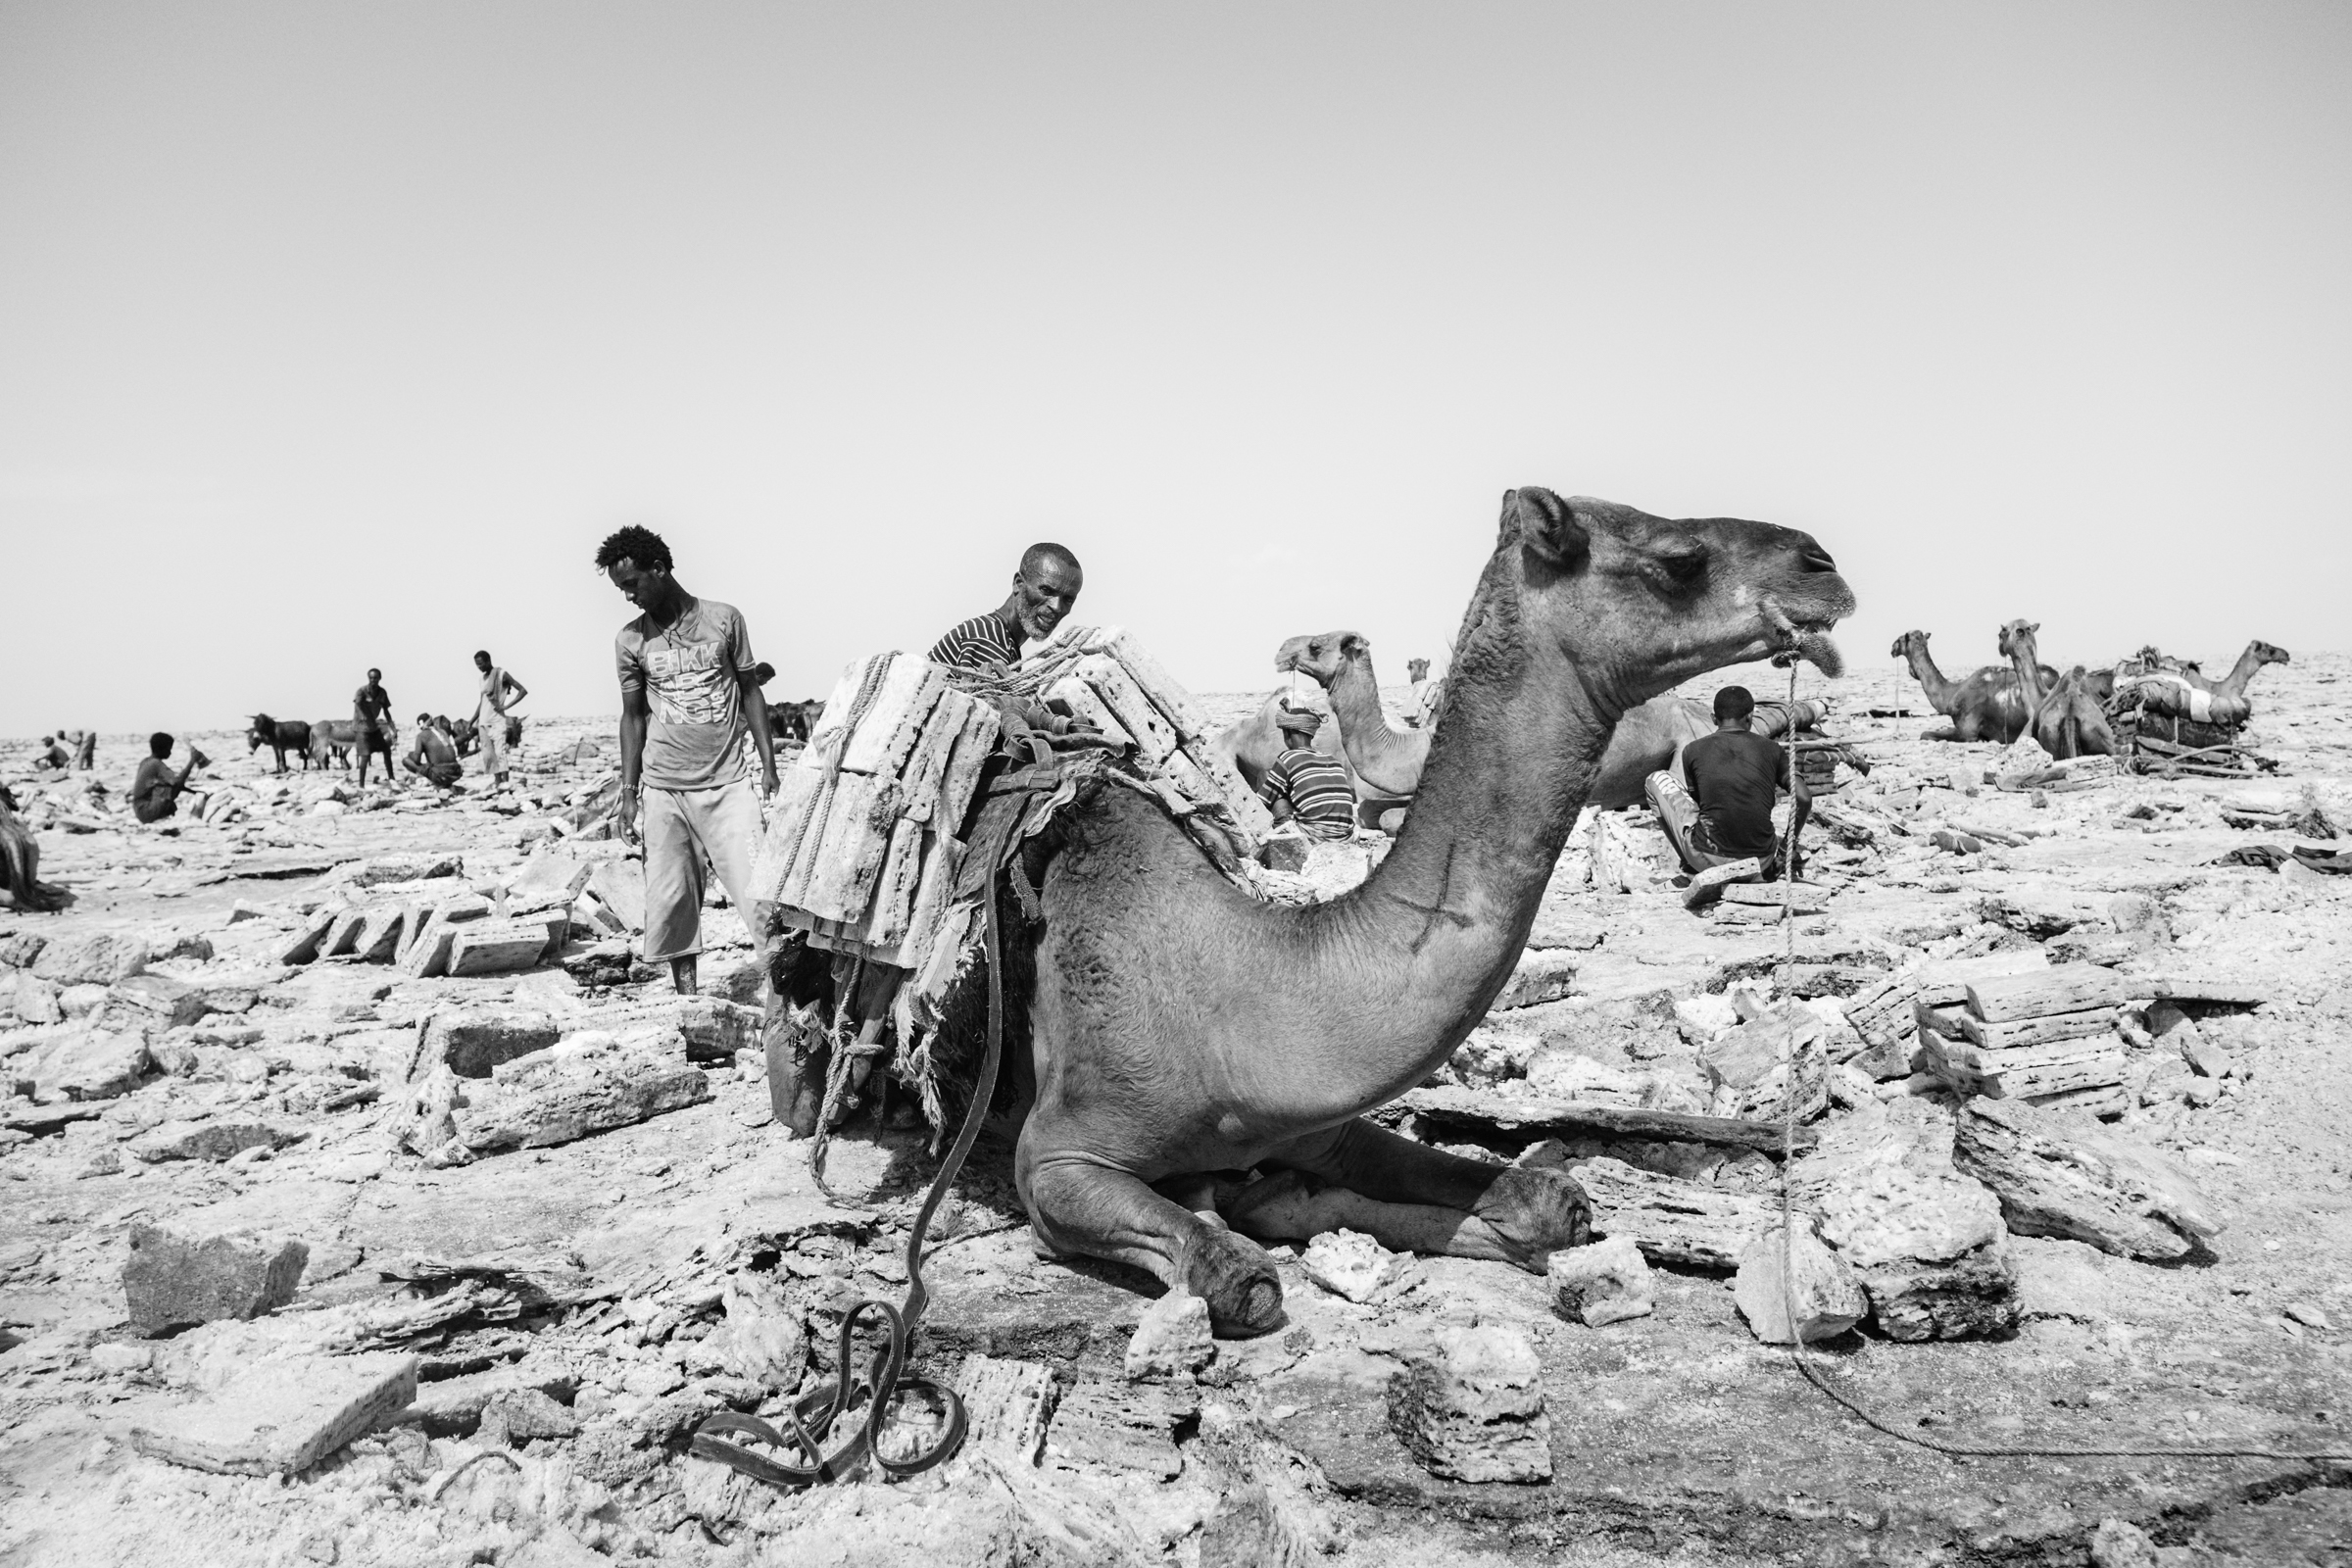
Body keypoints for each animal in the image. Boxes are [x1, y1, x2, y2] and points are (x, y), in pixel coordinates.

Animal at [997, 484, 1853, 1335]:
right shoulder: (1057, 1159)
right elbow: (1240, 1278)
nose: (1824, 567)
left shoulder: (1323, 1129)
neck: (1241, 1009)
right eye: (1680, 560)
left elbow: (1547, 1204)